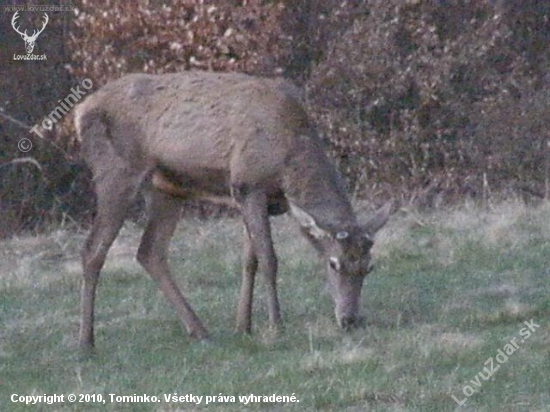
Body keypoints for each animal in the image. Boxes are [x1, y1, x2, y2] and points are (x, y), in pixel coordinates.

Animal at [74, 71, 392, 350]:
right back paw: (87, 342)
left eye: (369, 267)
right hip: (117, 171)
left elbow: (249, 261)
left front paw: (244, 325)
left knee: (149, 251)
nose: (350, 320)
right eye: (333, 263)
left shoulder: (249, 196)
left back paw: (200, 331)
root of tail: (79, 113)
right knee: (93, 250)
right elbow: (269, 259)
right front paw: (276, 325)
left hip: (168, 188)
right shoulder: (249, 184)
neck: (288, 164)